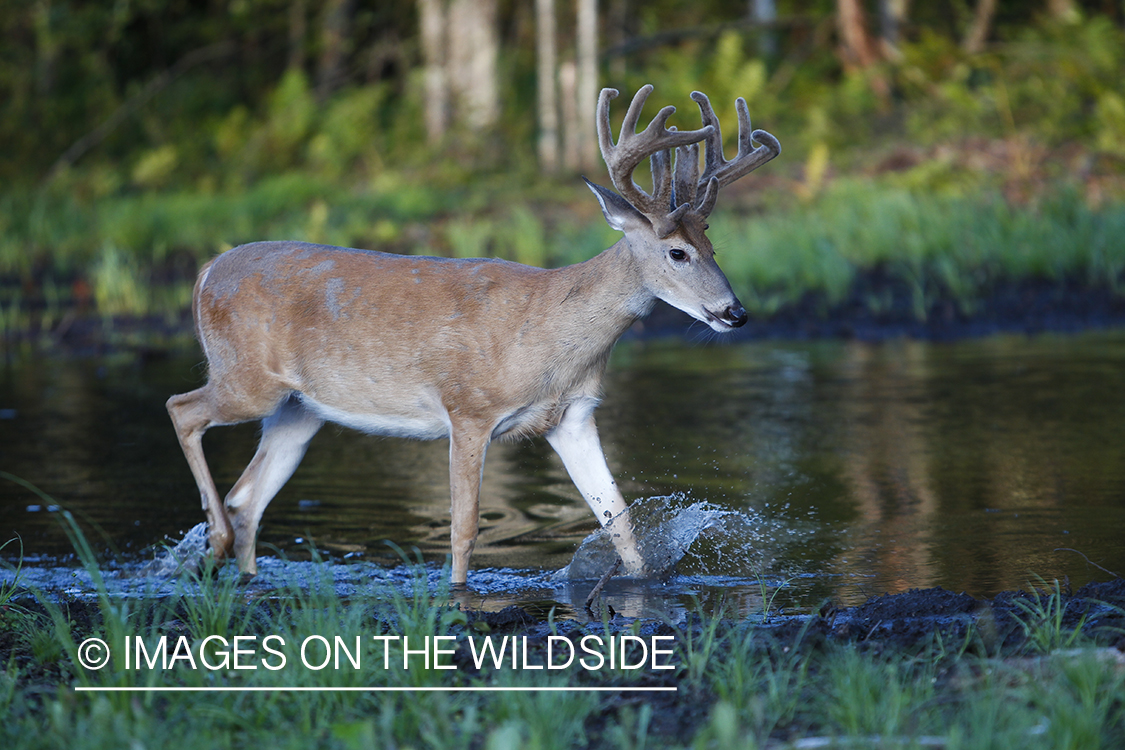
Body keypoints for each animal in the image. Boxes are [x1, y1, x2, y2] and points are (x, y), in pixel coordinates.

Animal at [166, 84, 778, 584]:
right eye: (676, 252)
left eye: (713, 247)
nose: (735, 312)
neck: (548, 334)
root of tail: (203, 273)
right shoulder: (468, 409)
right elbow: (464, 529)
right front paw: (457, 598)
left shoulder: (573, 415)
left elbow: (619, 523)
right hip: (246, 379)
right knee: (183, 408)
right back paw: (213, 540)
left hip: (299, 410)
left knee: (249, 498)